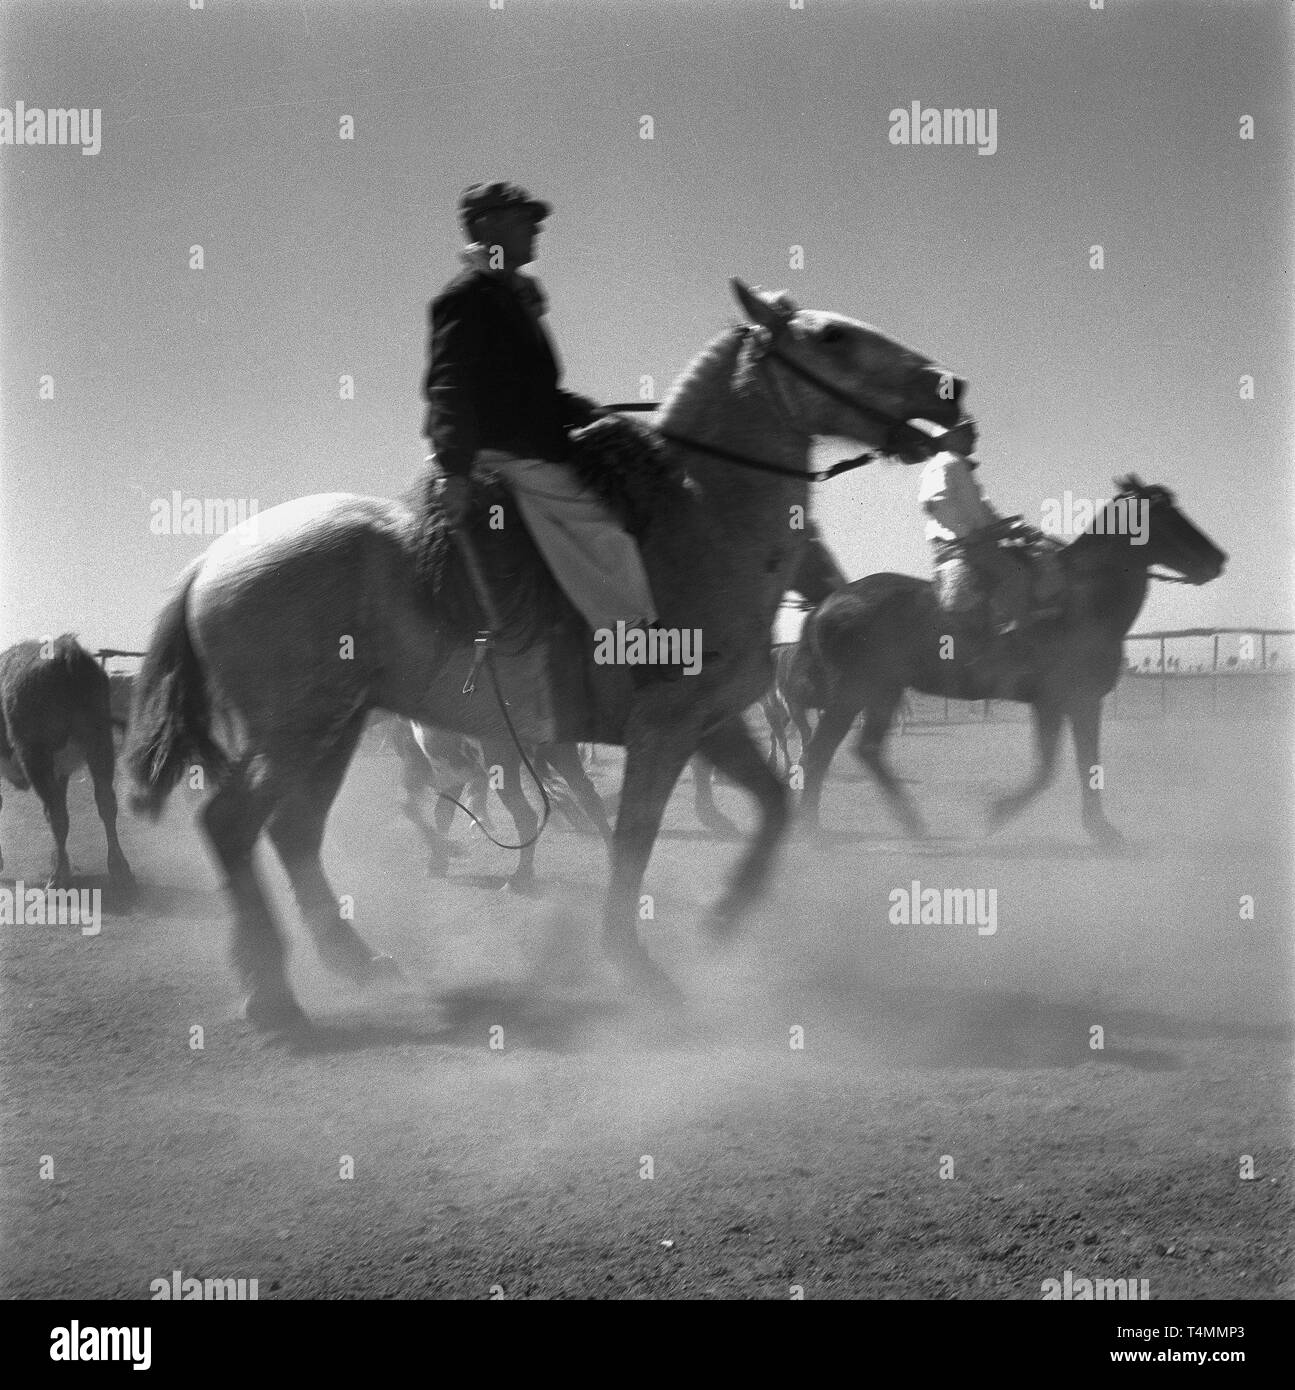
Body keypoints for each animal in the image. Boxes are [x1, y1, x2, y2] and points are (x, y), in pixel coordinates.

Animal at [126, 276, 967, 1028]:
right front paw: (638, 967)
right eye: (831, 337)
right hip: (298, 729)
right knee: (232, 824)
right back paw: (274, 994)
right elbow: (632, 842)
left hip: (332, 728)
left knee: (293, 832)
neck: (697, 526)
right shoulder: (663, 730)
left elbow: (770, 806)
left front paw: (722, 918)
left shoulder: (712, 723)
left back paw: (353, 961)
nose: (948, 386)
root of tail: (208, 562)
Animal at [794, 478, 1228, 845]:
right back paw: (813, 831)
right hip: (851, 694)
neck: (1080, 602)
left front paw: (1099, 830)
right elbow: (1053, 768)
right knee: (819, 752)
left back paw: (911, 825)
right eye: (1166, 515)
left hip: (883, 691)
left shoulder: (1077, 703)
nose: (1218, 560)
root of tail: (828, 605)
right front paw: (1001, 815)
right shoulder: (1062, 701)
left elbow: (1082, 764)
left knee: (865, 750)